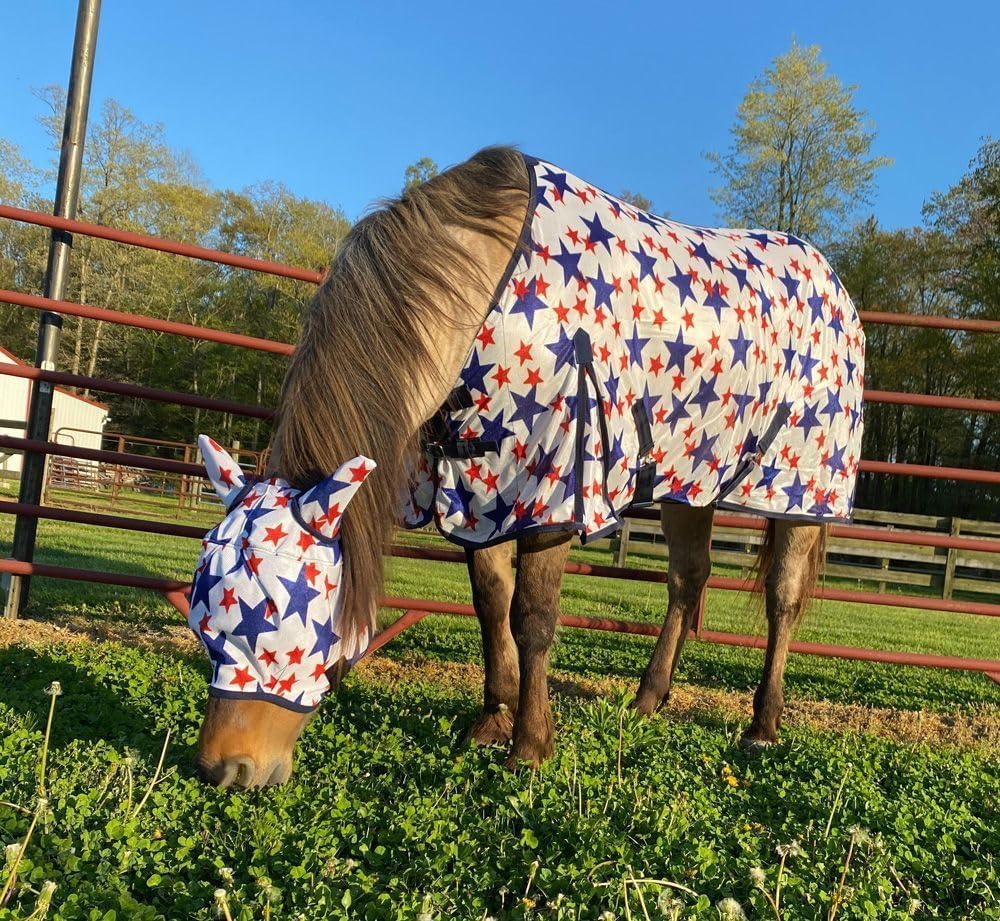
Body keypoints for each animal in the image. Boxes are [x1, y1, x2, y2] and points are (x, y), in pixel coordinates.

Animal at [188, 147, 864, 788]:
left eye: (277, 626)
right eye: (204, 621)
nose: (225, 768)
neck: (487, 299)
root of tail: (836, 284)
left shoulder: (552, 491)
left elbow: (532, 617)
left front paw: (531, 746)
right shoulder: (478, 485)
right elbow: (492, 604)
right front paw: (492, 721)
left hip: (801, 490)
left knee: (782, 600)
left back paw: (763, 725)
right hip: (688, 483)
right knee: (687, 579)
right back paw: (648, 699)